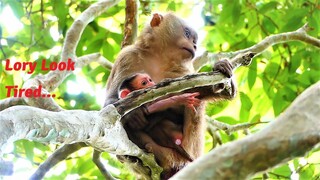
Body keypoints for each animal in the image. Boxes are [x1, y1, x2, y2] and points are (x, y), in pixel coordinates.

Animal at [105, 12, 235, 179]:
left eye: (194, 41)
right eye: (187, 34)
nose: (194, 45)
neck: (158, 58)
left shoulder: (181, 69)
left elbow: (196, 93)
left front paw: (221, 73)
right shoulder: (127, 56)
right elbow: (111, 103)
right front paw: (133, 114)